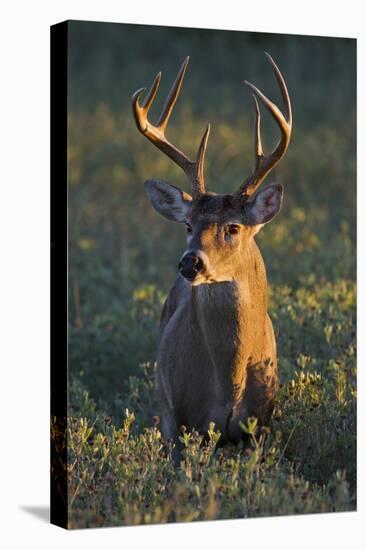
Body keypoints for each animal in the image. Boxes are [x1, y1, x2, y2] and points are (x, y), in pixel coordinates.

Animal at [132, 54, 292, 464]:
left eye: (233, 227)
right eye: (188, 224)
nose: (191, 263)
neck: (228, 381)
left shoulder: (259, 425)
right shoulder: (185, 420)